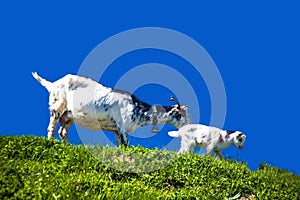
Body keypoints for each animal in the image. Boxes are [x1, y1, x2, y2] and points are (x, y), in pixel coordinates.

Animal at [31, 72, 190, 145]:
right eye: (181, 115)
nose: (189, 126)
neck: (137, 108)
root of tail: (53, 84)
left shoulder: (116, 130)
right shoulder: (123, 127)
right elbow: (126, 146)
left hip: (69, 115)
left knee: (62, 131)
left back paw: (67, 146)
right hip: (57, 105)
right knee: (52, 127)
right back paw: (50, 142)